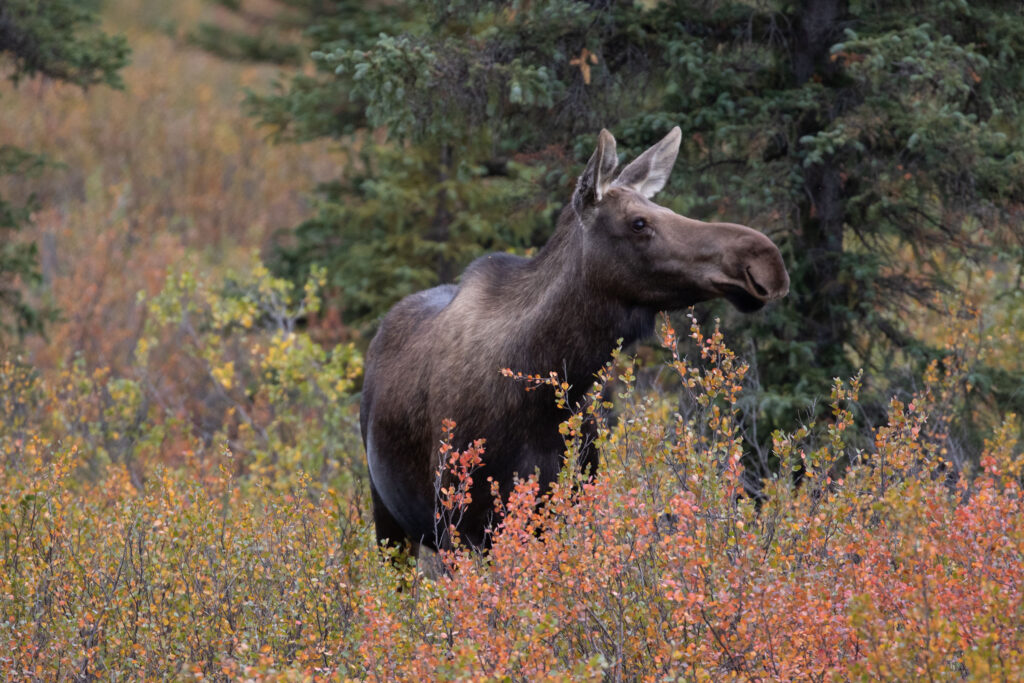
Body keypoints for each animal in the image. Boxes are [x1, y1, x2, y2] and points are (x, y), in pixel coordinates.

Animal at [360, 127, 790, 561]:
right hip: (387, 518)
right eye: (639, 222)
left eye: (663, 207)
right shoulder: (459, 526)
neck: (536, 395)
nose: (765, 261)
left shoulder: (568, 510)